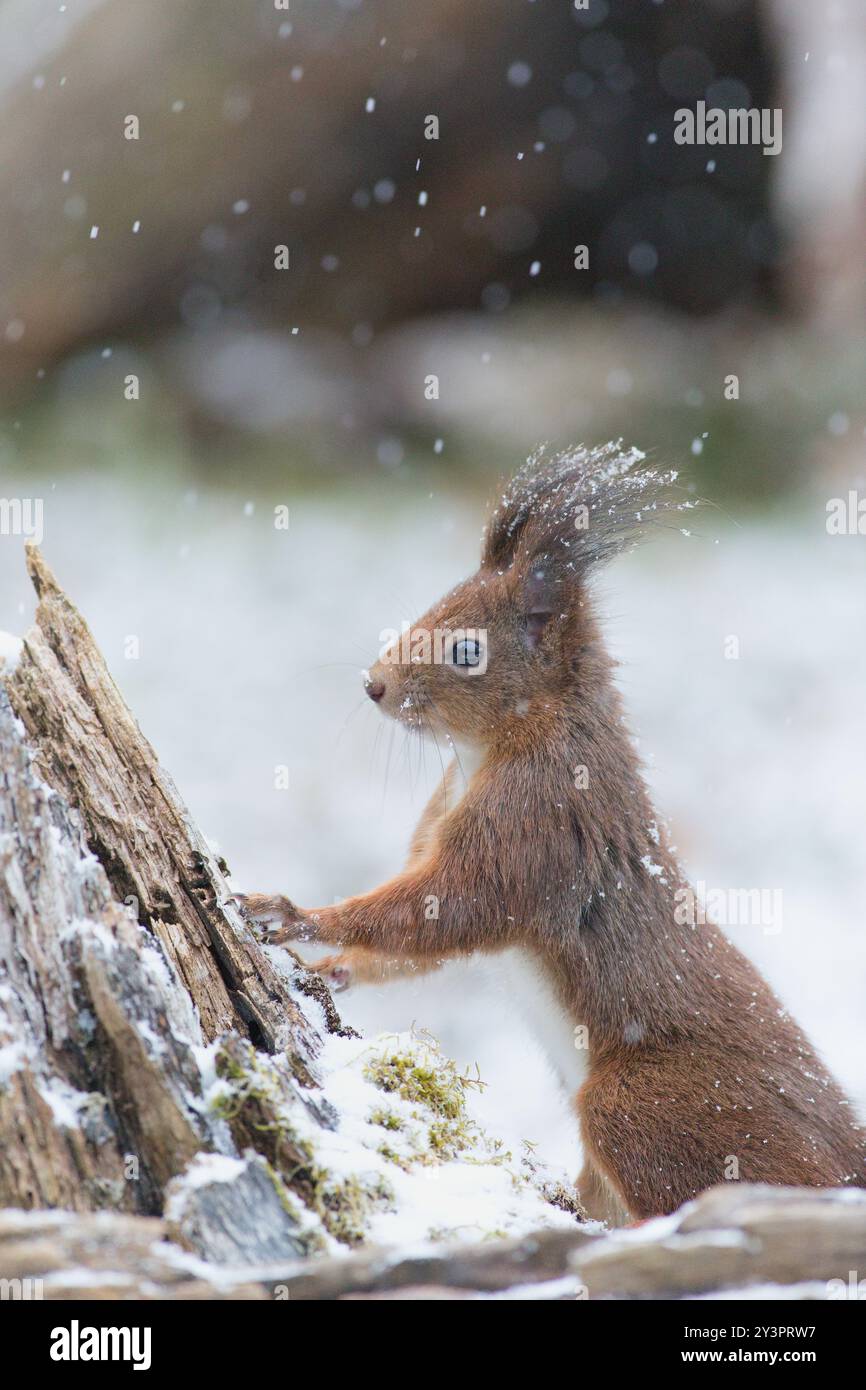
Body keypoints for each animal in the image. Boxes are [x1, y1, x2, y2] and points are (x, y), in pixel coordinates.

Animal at [240, 442, 861, 1217]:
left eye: (468, 651)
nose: (373, 686)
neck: (490, 748)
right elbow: (421, 938)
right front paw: (332, 971)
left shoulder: (535, 820)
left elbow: (448, 907)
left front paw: (294, 916)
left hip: (657, 1108)